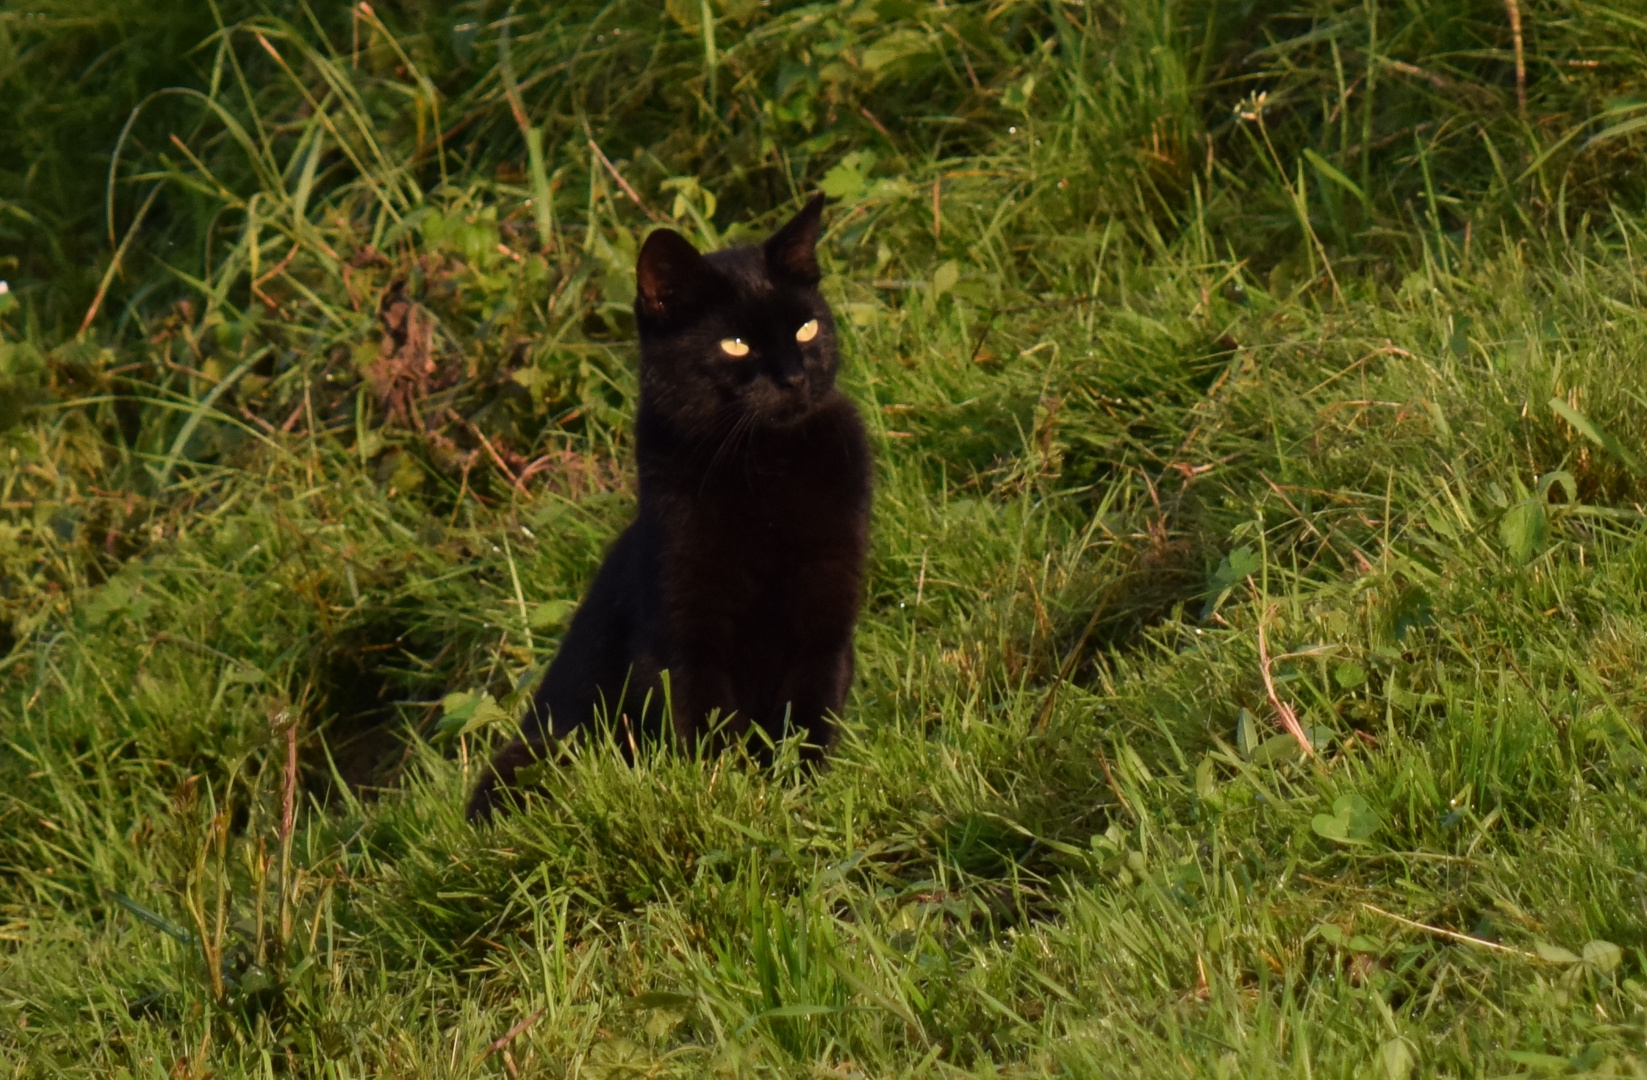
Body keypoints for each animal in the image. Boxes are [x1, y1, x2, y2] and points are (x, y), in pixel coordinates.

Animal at [467, 195, 876, 819]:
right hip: (538, 753)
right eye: (736, 344)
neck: (769, 473)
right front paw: (733, 800)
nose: (793, 376)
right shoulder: (683, 637)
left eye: (806, 327)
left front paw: (800, 796)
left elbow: (808, 721)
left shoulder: (825, 624)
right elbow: (708, 731)